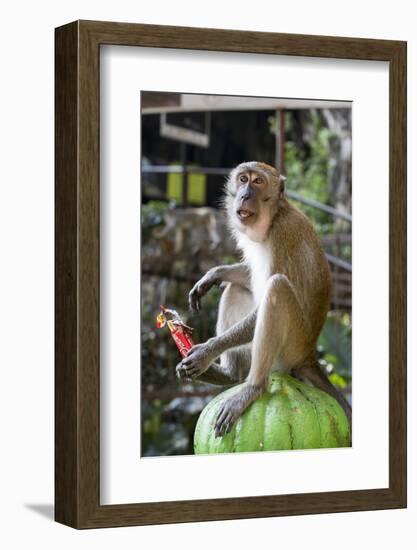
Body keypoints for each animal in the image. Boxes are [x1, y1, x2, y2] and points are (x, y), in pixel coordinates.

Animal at [176, 162, 352, 438]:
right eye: (243, 179)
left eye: (258, 182)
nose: (245, 194)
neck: (272, 218)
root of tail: (310, 355)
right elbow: (247, 277)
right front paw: (215, 274)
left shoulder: (283, 235)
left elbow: (270, 294)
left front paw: (207, 350)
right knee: (236, 289)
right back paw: (228, 374)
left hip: (292, 347)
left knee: (277, 288)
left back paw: (252, 388)